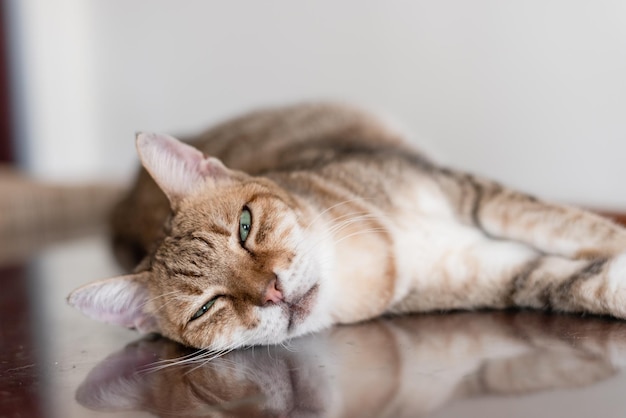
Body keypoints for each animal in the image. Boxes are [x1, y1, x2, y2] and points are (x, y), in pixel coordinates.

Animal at [68, 103, 626, 352]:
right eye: (207, 307)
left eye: (245, 226)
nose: (272, 292)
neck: (385, 250)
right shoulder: (508, 272)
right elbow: (590, 282)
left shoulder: (474, 196)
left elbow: (572, 224)